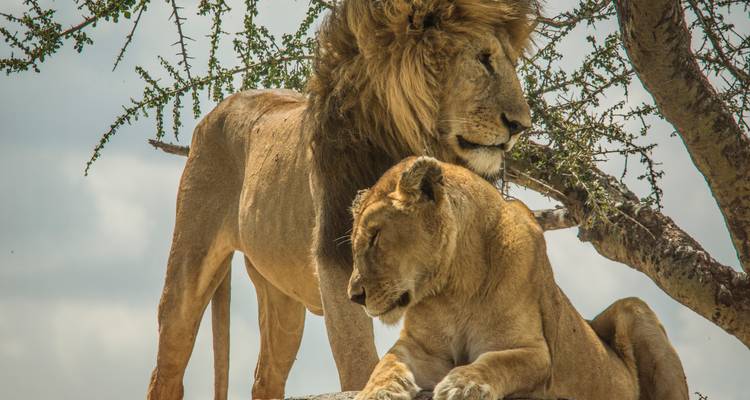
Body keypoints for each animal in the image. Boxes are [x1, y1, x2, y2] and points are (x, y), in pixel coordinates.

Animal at [146, 1, 536, 399]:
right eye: (483, 59)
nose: (522, 125)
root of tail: (220, 107)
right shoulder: (336, 257)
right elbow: (358, 362)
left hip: (281, 300)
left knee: (265, 377)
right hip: (188, 263)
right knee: (166, 369)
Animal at [348, 157, 689, 400]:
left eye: (375, 236)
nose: (354, 297)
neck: (452, 290)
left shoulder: (535, 353)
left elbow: (499, 362)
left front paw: (465, 384)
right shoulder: (421, 349)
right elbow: (387, 364)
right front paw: (377, 391)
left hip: (634, 309)